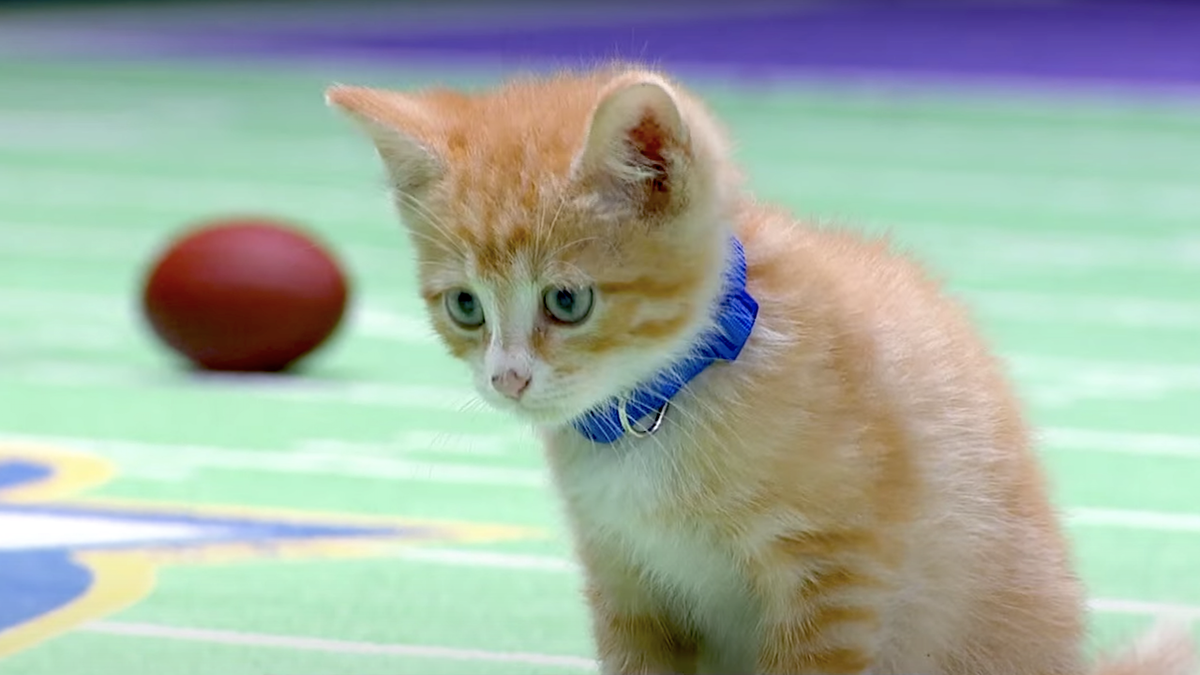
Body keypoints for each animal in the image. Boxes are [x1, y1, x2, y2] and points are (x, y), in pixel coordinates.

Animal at [324, 64, 1195, 672]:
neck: (658, 410)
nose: (507, 379)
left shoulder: (835, 571)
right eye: (465, 306)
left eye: (567, 300)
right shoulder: (626, 578)